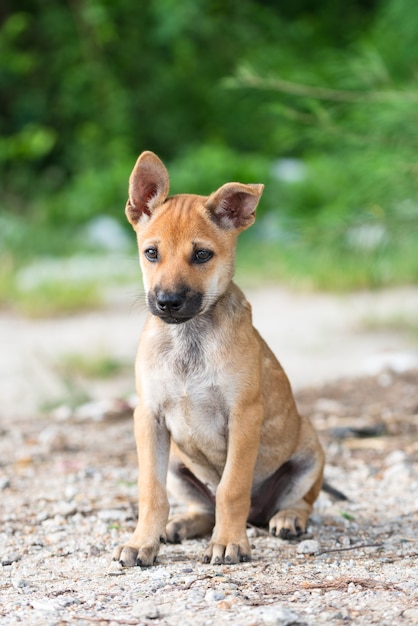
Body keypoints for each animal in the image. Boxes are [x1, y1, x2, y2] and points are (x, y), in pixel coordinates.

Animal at [112, 150, 324, 564]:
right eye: (151, 253)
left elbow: (232, 488)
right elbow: (151, 492)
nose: (168, 302)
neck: (188, 337)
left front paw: (228, 542)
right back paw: (181, 524)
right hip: (178, 464)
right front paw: (142, 541)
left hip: (310, 447)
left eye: (202, 254)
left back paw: (286, 518)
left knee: (300, 502)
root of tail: (259, 516)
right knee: (203, 508)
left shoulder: (244, 416)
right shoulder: (149, 418)